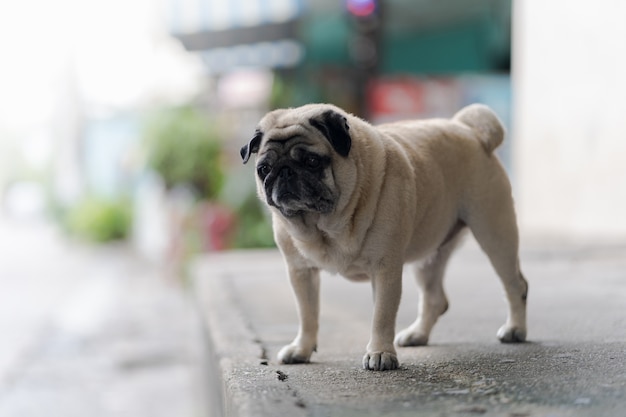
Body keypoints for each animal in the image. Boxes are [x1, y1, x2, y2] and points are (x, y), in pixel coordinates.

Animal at [239, 102, 528, 368]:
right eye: (263, 169)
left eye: (311, 161)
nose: (284, 172)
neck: (325, 226)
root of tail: (469, 129)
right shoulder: (301, 272)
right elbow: (307, 314)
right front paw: (302, 349)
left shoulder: (384, 269)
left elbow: (382, 315)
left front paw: (380, 353)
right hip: (429, 255)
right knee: (435, 299)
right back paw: (417, 334)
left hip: (495, 233)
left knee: (515, 284)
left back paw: (515, 329)